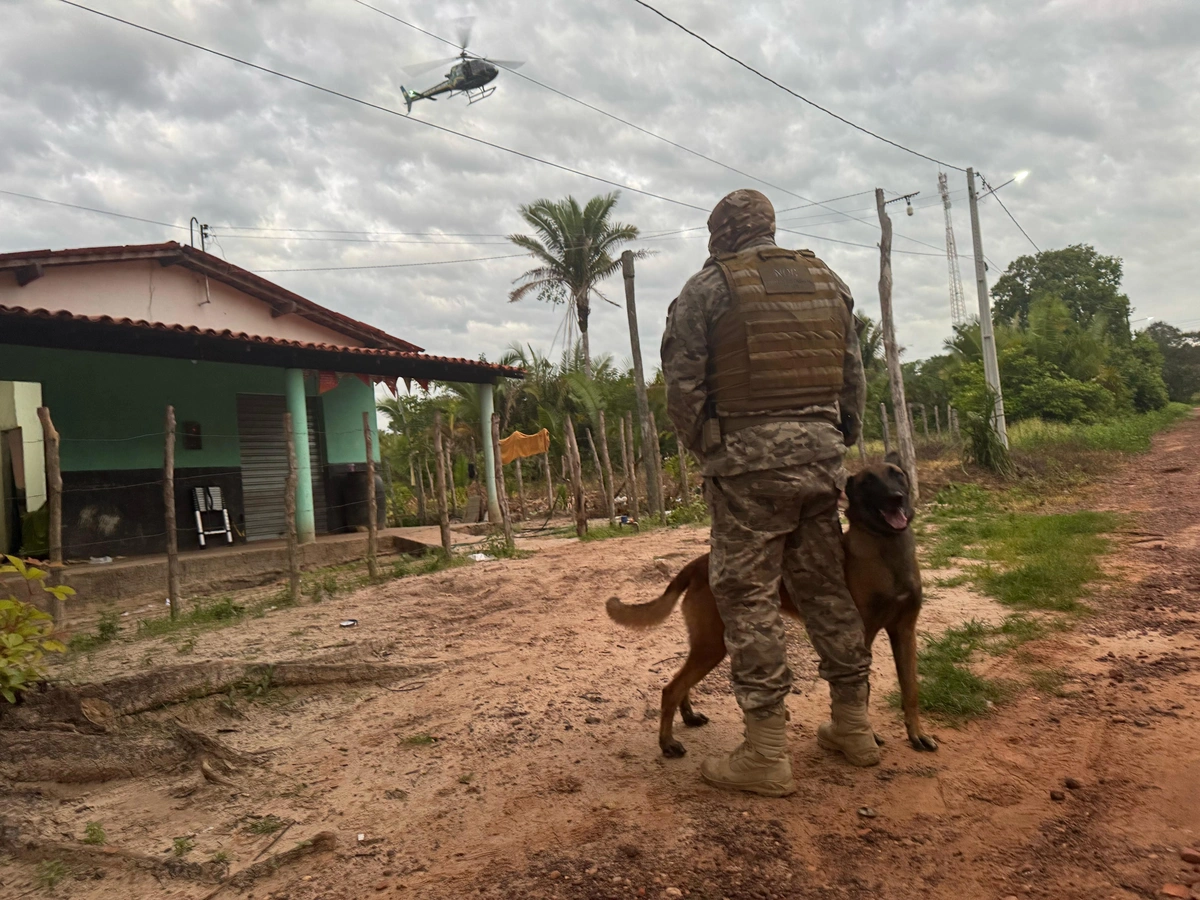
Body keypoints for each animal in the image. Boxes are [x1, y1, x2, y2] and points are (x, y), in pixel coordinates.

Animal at [609, 458, 936, 763]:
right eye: (868, 482)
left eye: (897, 474)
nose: (895, 498)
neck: (886, 550)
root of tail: (697, 564)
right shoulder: (860, 637)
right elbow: (862, 689)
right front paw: (868, 735)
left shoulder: (905, 633)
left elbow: (911, 689)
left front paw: (916, 735)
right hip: (713, 646)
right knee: (671, 688)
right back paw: (668, 743)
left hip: (706, 645)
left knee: (681, 681)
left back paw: (688, 716)